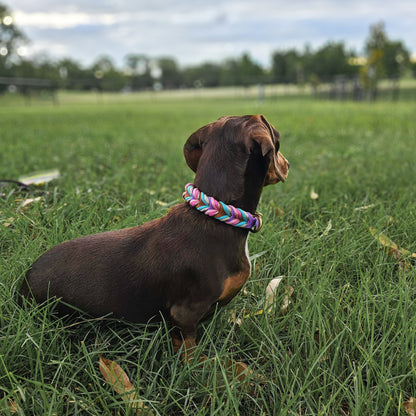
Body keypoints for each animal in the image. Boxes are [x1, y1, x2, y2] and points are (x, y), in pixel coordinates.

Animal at [20, 115, 290, 360]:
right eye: (278, 140)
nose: (287, 163)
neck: (216, 217)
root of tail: (23, 282)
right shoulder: (185, 312)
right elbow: (189, 349)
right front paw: (197, 368)